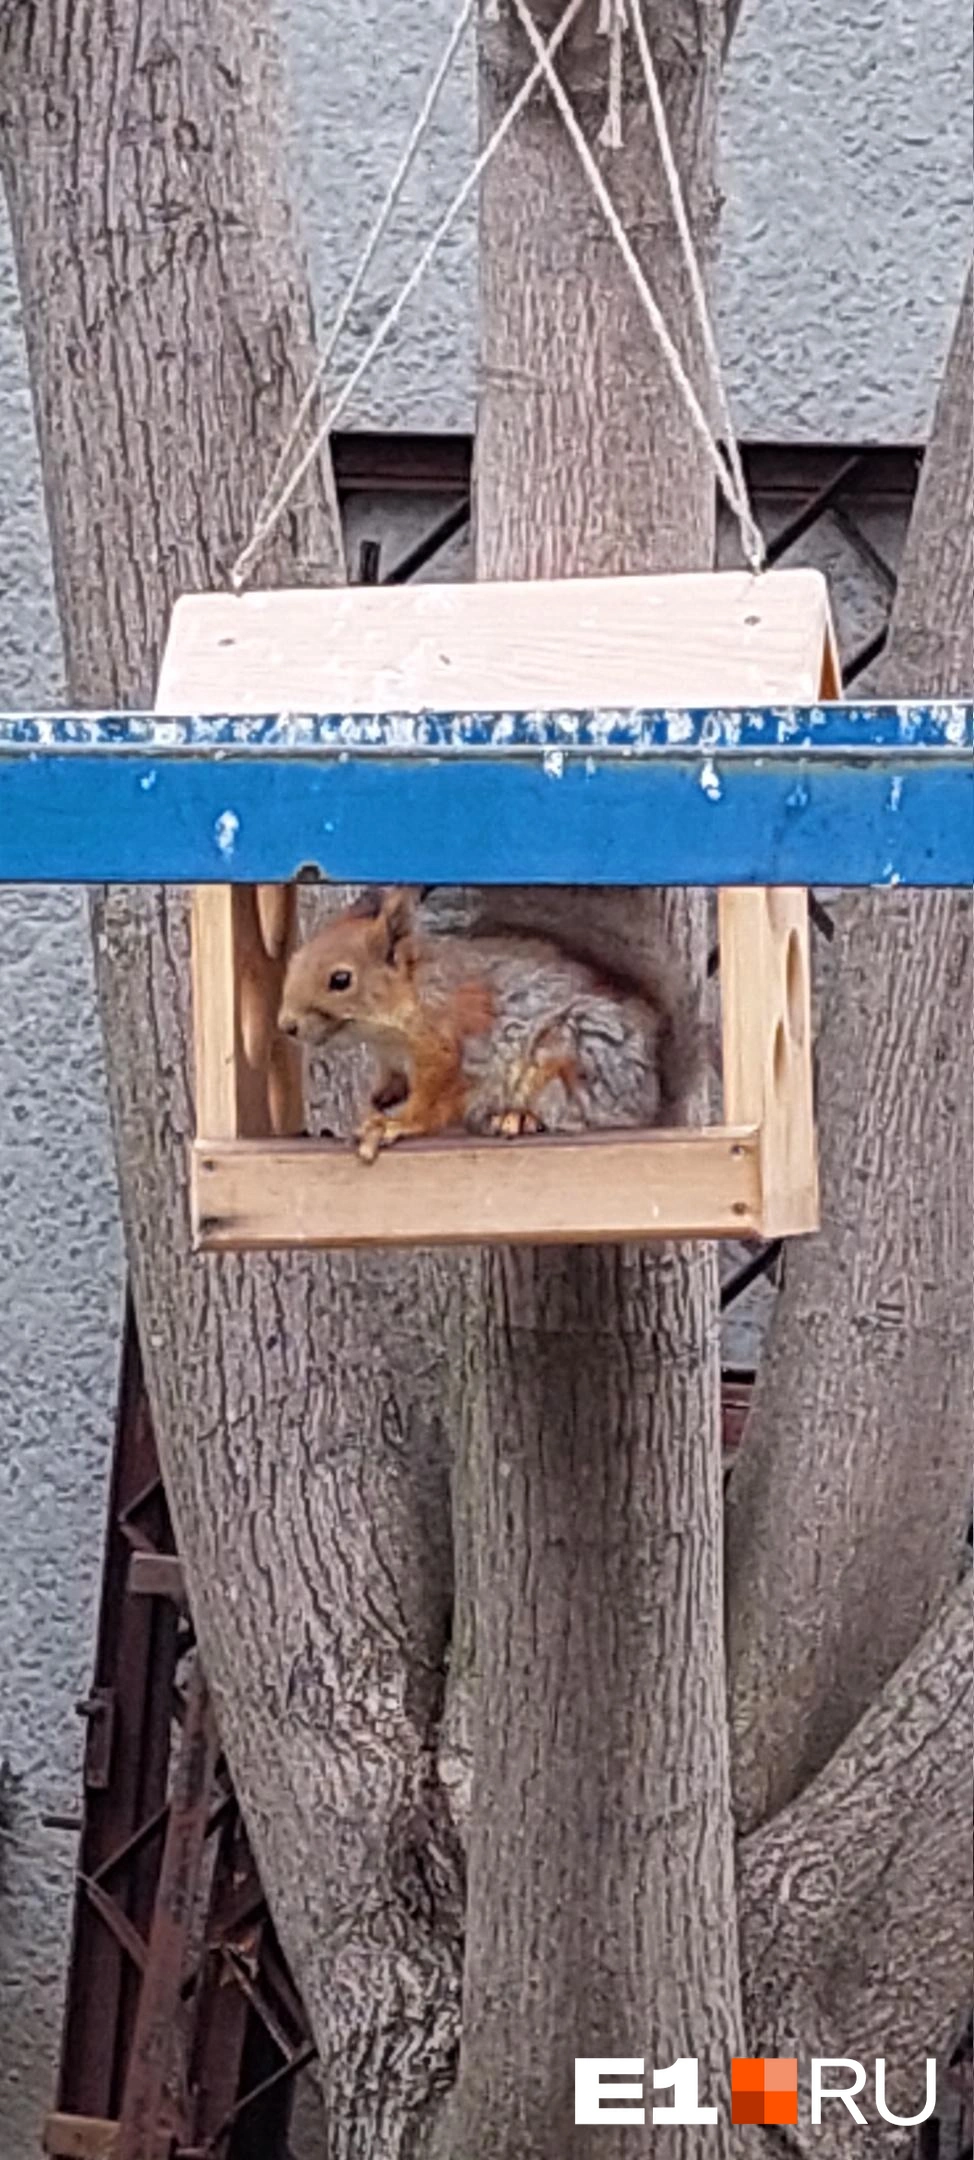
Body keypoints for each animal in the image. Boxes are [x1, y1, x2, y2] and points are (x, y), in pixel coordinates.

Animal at [278, 881, 704, 1166]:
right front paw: (381, 1098)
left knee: (580, 1114)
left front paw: (393, 1125)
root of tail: (657, 1090)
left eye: (340, 979)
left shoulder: (447, 1048)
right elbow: (394, 1082)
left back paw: (519, 1118)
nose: (286, 1026)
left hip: (574, 1052)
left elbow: (431, 1102)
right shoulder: (394, 1059)